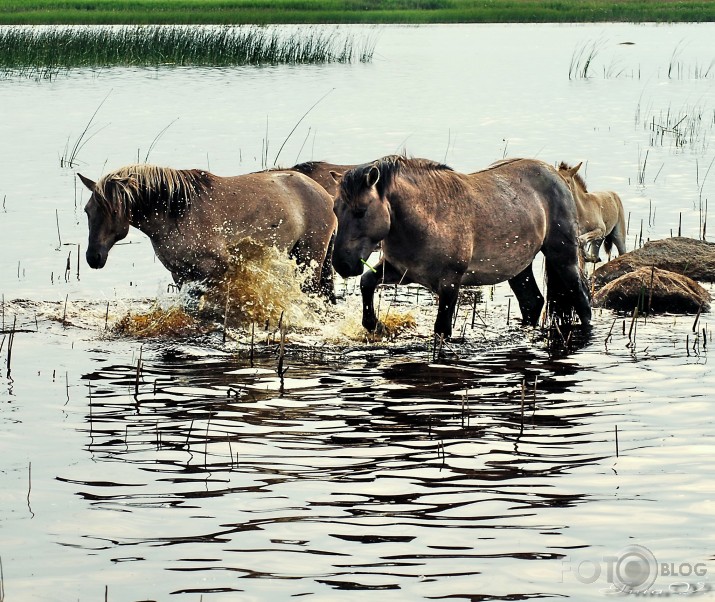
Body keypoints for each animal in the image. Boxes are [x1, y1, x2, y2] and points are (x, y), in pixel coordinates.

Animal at [79, 164, 338, 298]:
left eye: (114, 211)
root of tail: (325, 194)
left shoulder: (213, 270)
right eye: (87, 210)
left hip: (309, 259)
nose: (93, 257)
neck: (178, 212)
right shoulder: (180, 275)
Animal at [330, 155, 592, 338]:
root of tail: (556, 175)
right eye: (335, 209)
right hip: (519, 268)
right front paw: (376, 325)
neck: (430, 216)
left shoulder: (449, 284)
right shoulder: (402, 272)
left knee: (581, 300)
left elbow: (442, 329)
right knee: (532, 302)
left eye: (361, 211)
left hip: (563, 257)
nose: (342, 264)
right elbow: (366, 282)